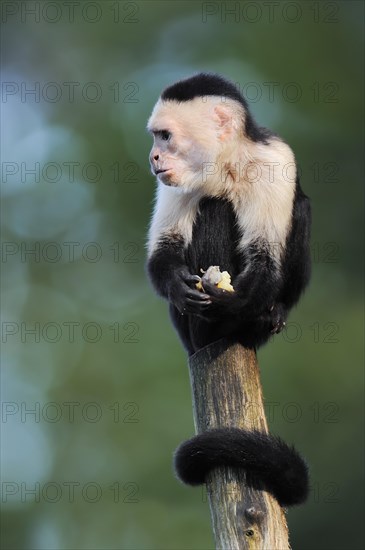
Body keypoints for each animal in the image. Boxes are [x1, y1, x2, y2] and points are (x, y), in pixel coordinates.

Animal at [145, 72, 310, 358]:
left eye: (165, 136)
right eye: (157, 136)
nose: (153, 157)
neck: (226, 165)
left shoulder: (274, 163)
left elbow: (264, 257)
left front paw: (232, 302)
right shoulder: (173, 180)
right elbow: (163, 248)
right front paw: (177, 283)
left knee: (300, 209)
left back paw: (266, 316)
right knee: (215, 206)